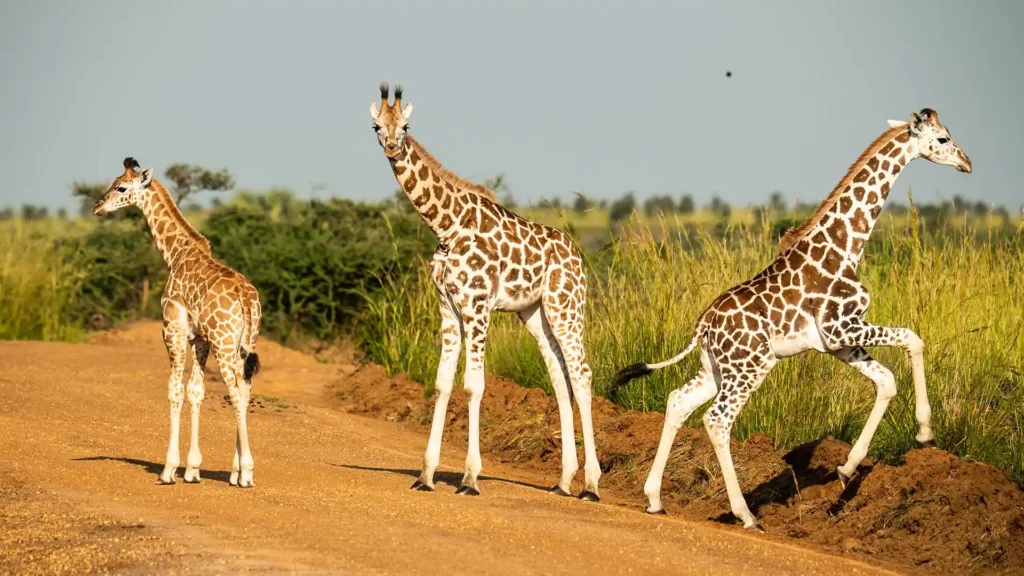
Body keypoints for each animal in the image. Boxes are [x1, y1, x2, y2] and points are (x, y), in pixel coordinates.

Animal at [93, 155, 264, 483]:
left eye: (120, 187)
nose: (97, 206)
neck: (176, 253)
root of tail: (246, 299)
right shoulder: (199, 340)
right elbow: (196, 392)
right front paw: (193, 469)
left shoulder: (172, 331)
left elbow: (174, 391)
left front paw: (169, 469)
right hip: (242, 344)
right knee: (246, 390)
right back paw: (235, 471)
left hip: (224, 345)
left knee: (236, 393)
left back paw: (247, 473)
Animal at [372, 81, 602, 498]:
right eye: (376, 126)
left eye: (407, 126)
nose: (393, 147)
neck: (446, 227)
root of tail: (578, 257)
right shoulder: (448, 308)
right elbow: (442, 383)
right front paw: (425, 475)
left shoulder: (477, 306)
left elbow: (474, 386)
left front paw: (469, 477)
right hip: (536, 314)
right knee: (560, 380)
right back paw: (563, 481)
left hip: (567, 308)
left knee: (582, 375)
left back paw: (591, 484)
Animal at [610, 108, 970, 528]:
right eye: (943, 139)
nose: (967, 163)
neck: (847, 247)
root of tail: (703, 327)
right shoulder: (842, 327)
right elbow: (914, 338)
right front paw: (925, 433)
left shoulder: (837, 343)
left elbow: (887, 381)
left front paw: (847, 468)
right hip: (752, 366)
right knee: (717, 421)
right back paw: (746, 513)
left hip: (717, 368)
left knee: (678, 401)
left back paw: (654, 498)